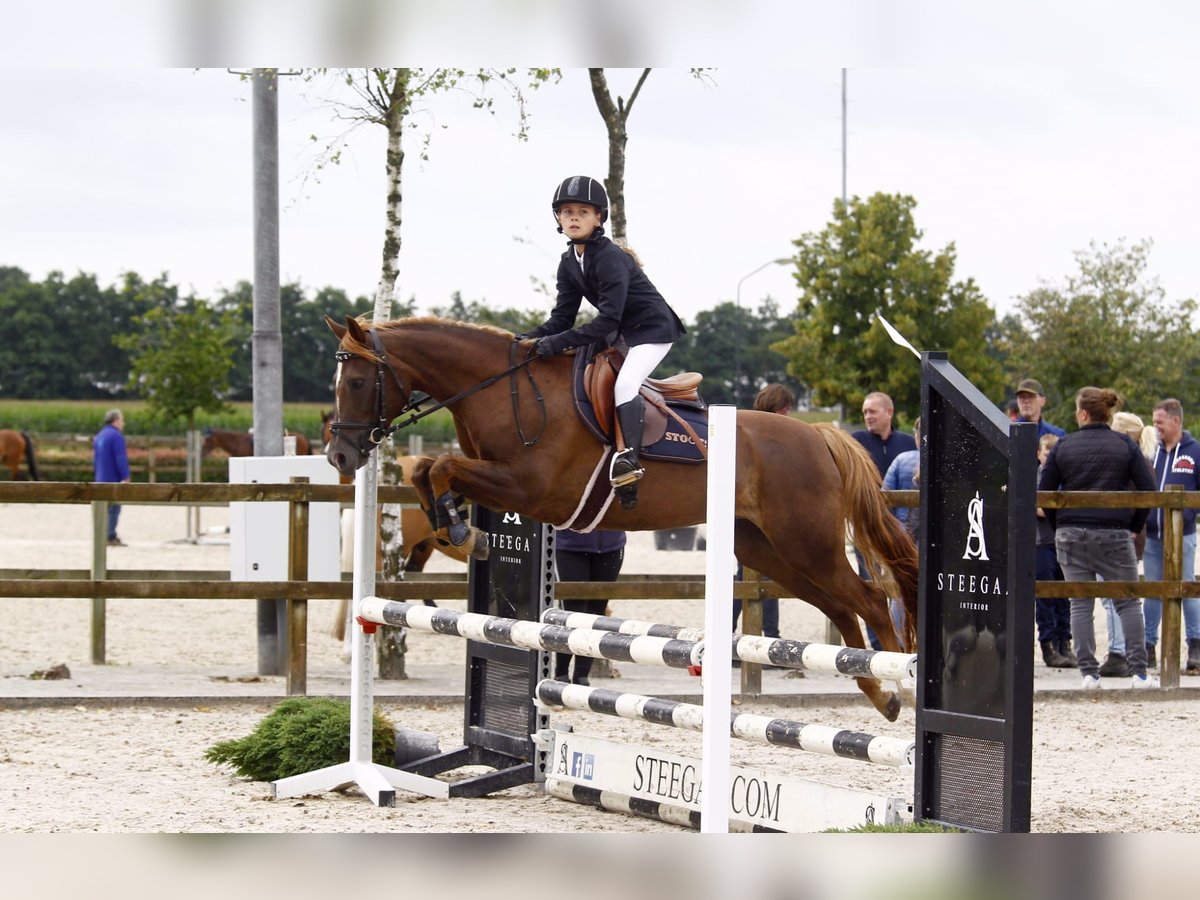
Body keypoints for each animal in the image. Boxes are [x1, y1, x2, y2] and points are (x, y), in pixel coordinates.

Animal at [324, 314, 912, 724]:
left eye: (356, 383)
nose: (340, 456)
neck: (503, 389)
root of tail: (820, 435)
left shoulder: (529, 487)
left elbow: (441, 465)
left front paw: (464, 530)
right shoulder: (498, 478)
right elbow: (430, 469)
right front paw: (457, 527)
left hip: (806, 543)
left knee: (868, 599)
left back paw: (899, 684)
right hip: (770, 551)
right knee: (842, 605)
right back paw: (878, 694)